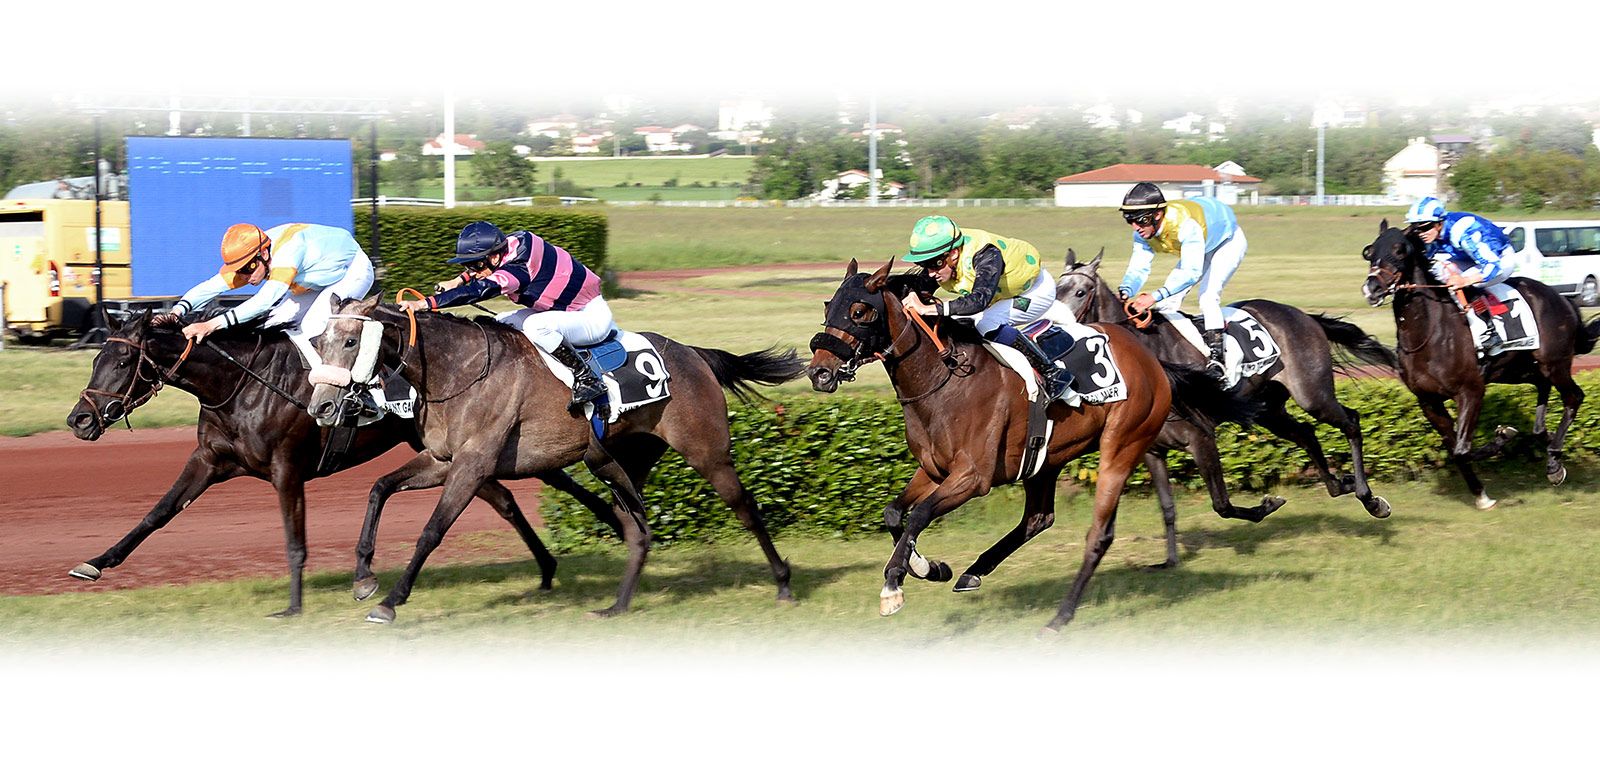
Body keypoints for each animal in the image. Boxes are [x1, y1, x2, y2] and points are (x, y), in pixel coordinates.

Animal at [307, 296, 806, 624]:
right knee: (637, 529)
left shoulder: (473, 464)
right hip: (619, 460)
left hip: (707, 450)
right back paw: (617, 605)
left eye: (350, 341)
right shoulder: (442, 459)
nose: (322, 407)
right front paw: (363, 577)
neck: (457, 369)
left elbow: (431, 531)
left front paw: (390, 601)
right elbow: (380, 488)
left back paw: (784, 583)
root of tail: (695, 353)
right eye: (318, 340)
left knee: (745, 507)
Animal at [806, 259, 1254, 630]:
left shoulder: (973, 477)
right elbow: (895, 514)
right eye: (828, 306)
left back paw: (1060, 618)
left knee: (1098, 534)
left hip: (1123, 444)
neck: (944, 378)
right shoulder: (933, 470)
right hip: (1046, 458)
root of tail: (1151, 359)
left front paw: (894, 586)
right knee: (1039, 518)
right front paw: (927, 566)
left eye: (859, 311)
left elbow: (919, 516)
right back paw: (974, 571)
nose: (819, 373)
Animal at [1056, 248, 1395, 563]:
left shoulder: (1201, 436)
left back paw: (1369, 498)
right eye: (1056, 289)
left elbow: (1221, 504)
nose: (1053, 327)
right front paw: (1169, 561)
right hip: (1269, 410)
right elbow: (1167, 507)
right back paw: (1341, 484)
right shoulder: (1152, 450)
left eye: (1080, 292)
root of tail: (1304, 316)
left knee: (1350, 422)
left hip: (1313, 395)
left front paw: (1267, 505)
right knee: (1307, 435)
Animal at [1363, 220, 1600, 508]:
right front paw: (1481, 492)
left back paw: (1554, 460)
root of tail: (1562, 298)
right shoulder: (1428, 400)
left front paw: (1502, 438)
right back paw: (1545, 439)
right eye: (1370, 251)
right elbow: (1454, 448)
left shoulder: (1471, 391)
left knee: (1574, 396)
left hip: (1554, 363)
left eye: (1400, 250)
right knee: (1542, 389)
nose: (1372, 288)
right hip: (1522, 369)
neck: (1429, 331)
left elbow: (1461, 449)